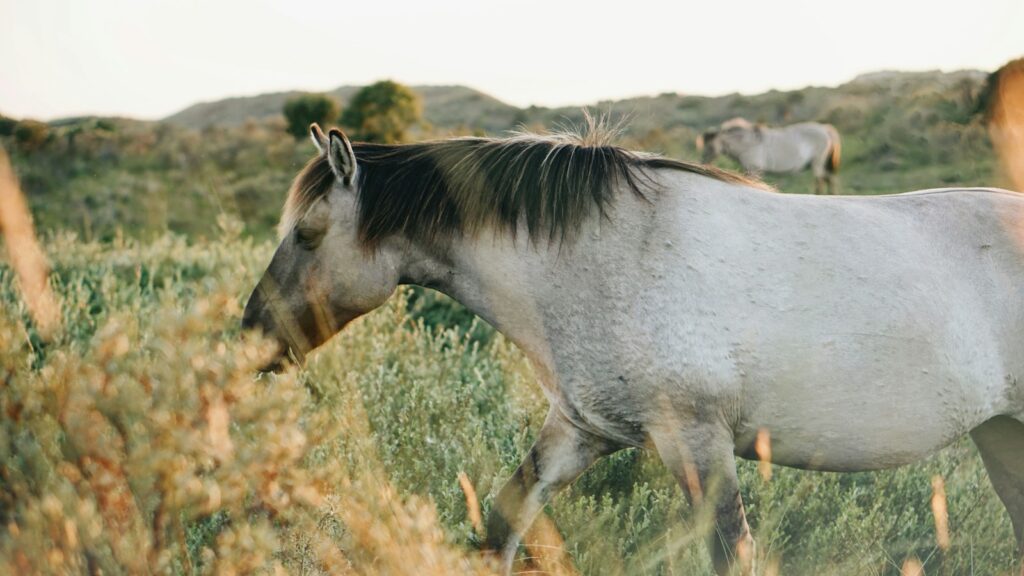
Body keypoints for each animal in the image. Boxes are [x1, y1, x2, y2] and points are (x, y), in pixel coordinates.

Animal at [699, 118, 842, 195]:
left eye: (710, 146)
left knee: (820, 181)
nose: (703, 162)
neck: (748, 142)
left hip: (818, 163)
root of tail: (825, 128)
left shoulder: (754, 169)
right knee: (829, 179)